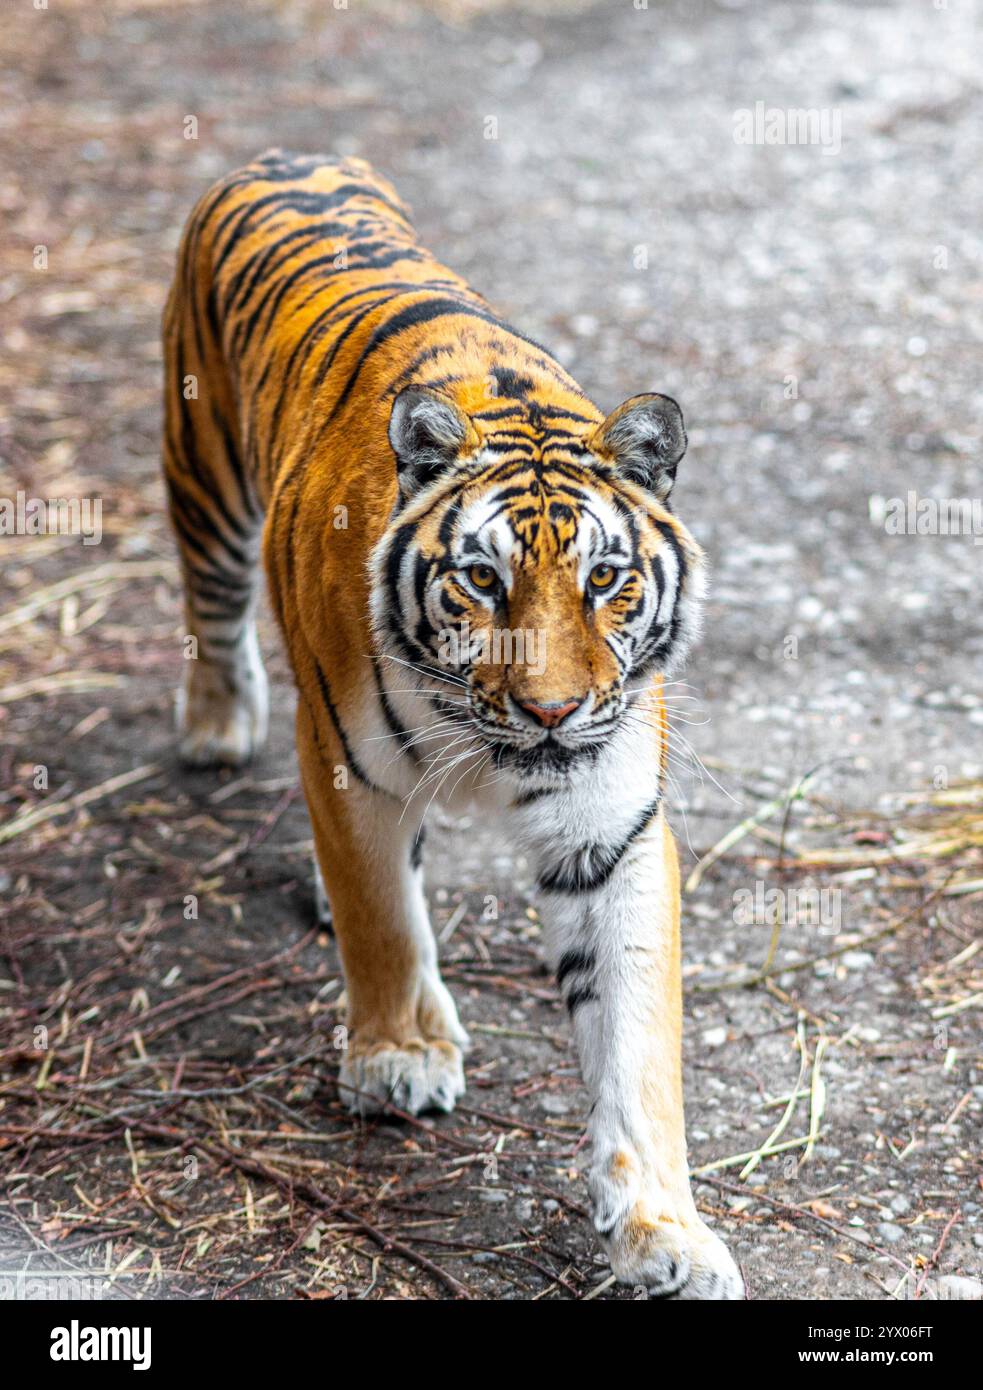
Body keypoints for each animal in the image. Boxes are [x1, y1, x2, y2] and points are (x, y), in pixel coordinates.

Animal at [161, 149, 743, 1299]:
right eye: (480, 579)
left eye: (603, 579)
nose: (553, 709)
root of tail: (289, 154)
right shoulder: (350, 771)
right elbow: (384, 919)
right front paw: (394, 1058)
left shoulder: (611, 827)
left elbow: (635, 1042)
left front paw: (663, 1230)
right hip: (200, 473)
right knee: (211, 602)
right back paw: (216, 725)